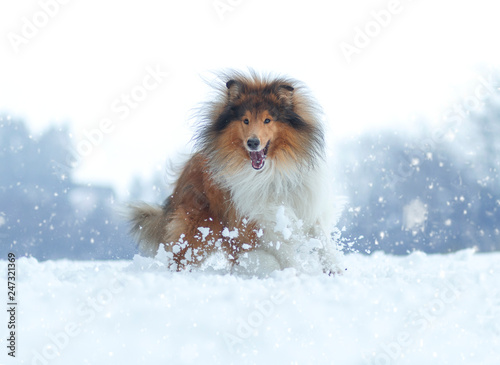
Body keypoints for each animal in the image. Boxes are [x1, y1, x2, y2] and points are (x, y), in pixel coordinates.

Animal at [127, 71, 342, 274]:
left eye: (267, 120)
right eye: (245, 120)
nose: (253, 142)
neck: (273, 170)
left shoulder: (308, 204)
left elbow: (323, 239)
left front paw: (334, 270)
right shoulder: (263, 221)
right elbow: (285, 252)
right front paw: (296, 273)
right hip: (198, 230)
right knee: (181, 257)